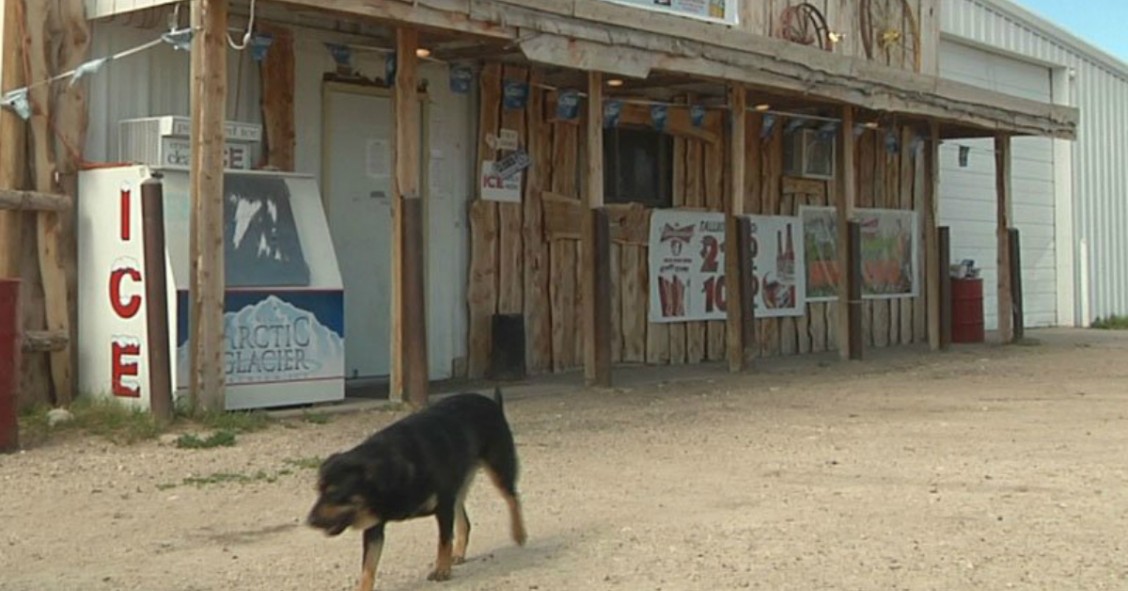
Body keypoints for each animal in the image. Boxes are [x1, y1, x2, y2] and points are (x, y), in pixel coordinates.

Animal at [306, 390, 530, 586]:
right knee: (465, 520)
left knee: (512, 497)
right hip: (458, 486)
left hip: (499, 467)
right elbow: (368, 568)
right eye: (318, 490)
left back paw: (519, 533)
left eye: (335, 493)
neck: (392, 472)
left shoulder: (443, 507)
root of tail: (493, 403)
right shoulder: (374, 527)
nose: (310, 521)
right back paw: (459, 552)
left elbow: (443, 541)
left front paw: (442, 570)